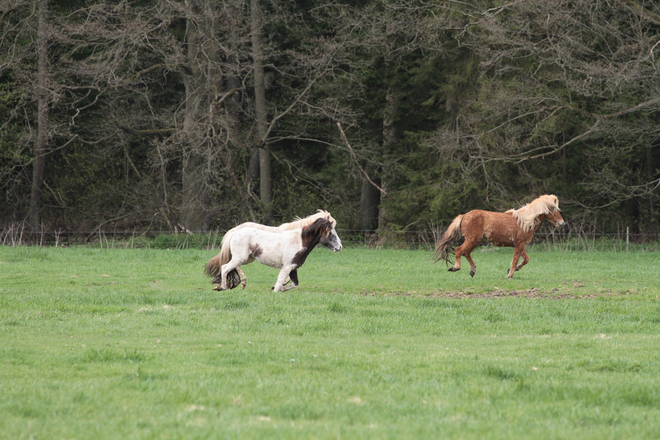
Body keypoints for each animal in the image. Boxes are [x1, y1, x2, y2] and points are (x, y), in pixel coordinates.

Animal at [205, 217, 340, 292]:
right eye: (331, 233)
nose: (339, 247)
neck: (299, 241)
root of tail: (234, 232)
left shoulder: (293, 268)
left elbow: (294, 284)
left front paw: (283, 289)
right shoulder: (286, 267)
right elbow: (279, 283)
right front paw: (276, 290)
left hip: (247, 258)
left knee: (231, 267)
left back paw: (238, 283)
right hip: (241, 257)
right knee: (225, 267)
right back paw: (223, 287)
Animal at [436, 195, 564, 278]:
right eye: (554, 209)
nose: (561, 223)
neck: (524, 222)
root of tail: (463, 216)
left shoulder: (520, 244)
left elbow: (525, 259)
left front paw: (511, 270)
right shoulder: (519, 244)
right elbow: (515, 259)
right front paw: (510, 275)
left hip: (476, 241)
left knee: (466, 253)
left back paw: (473, 270)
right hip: (472, 240)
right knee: (459, 250)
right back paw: (455, 268)